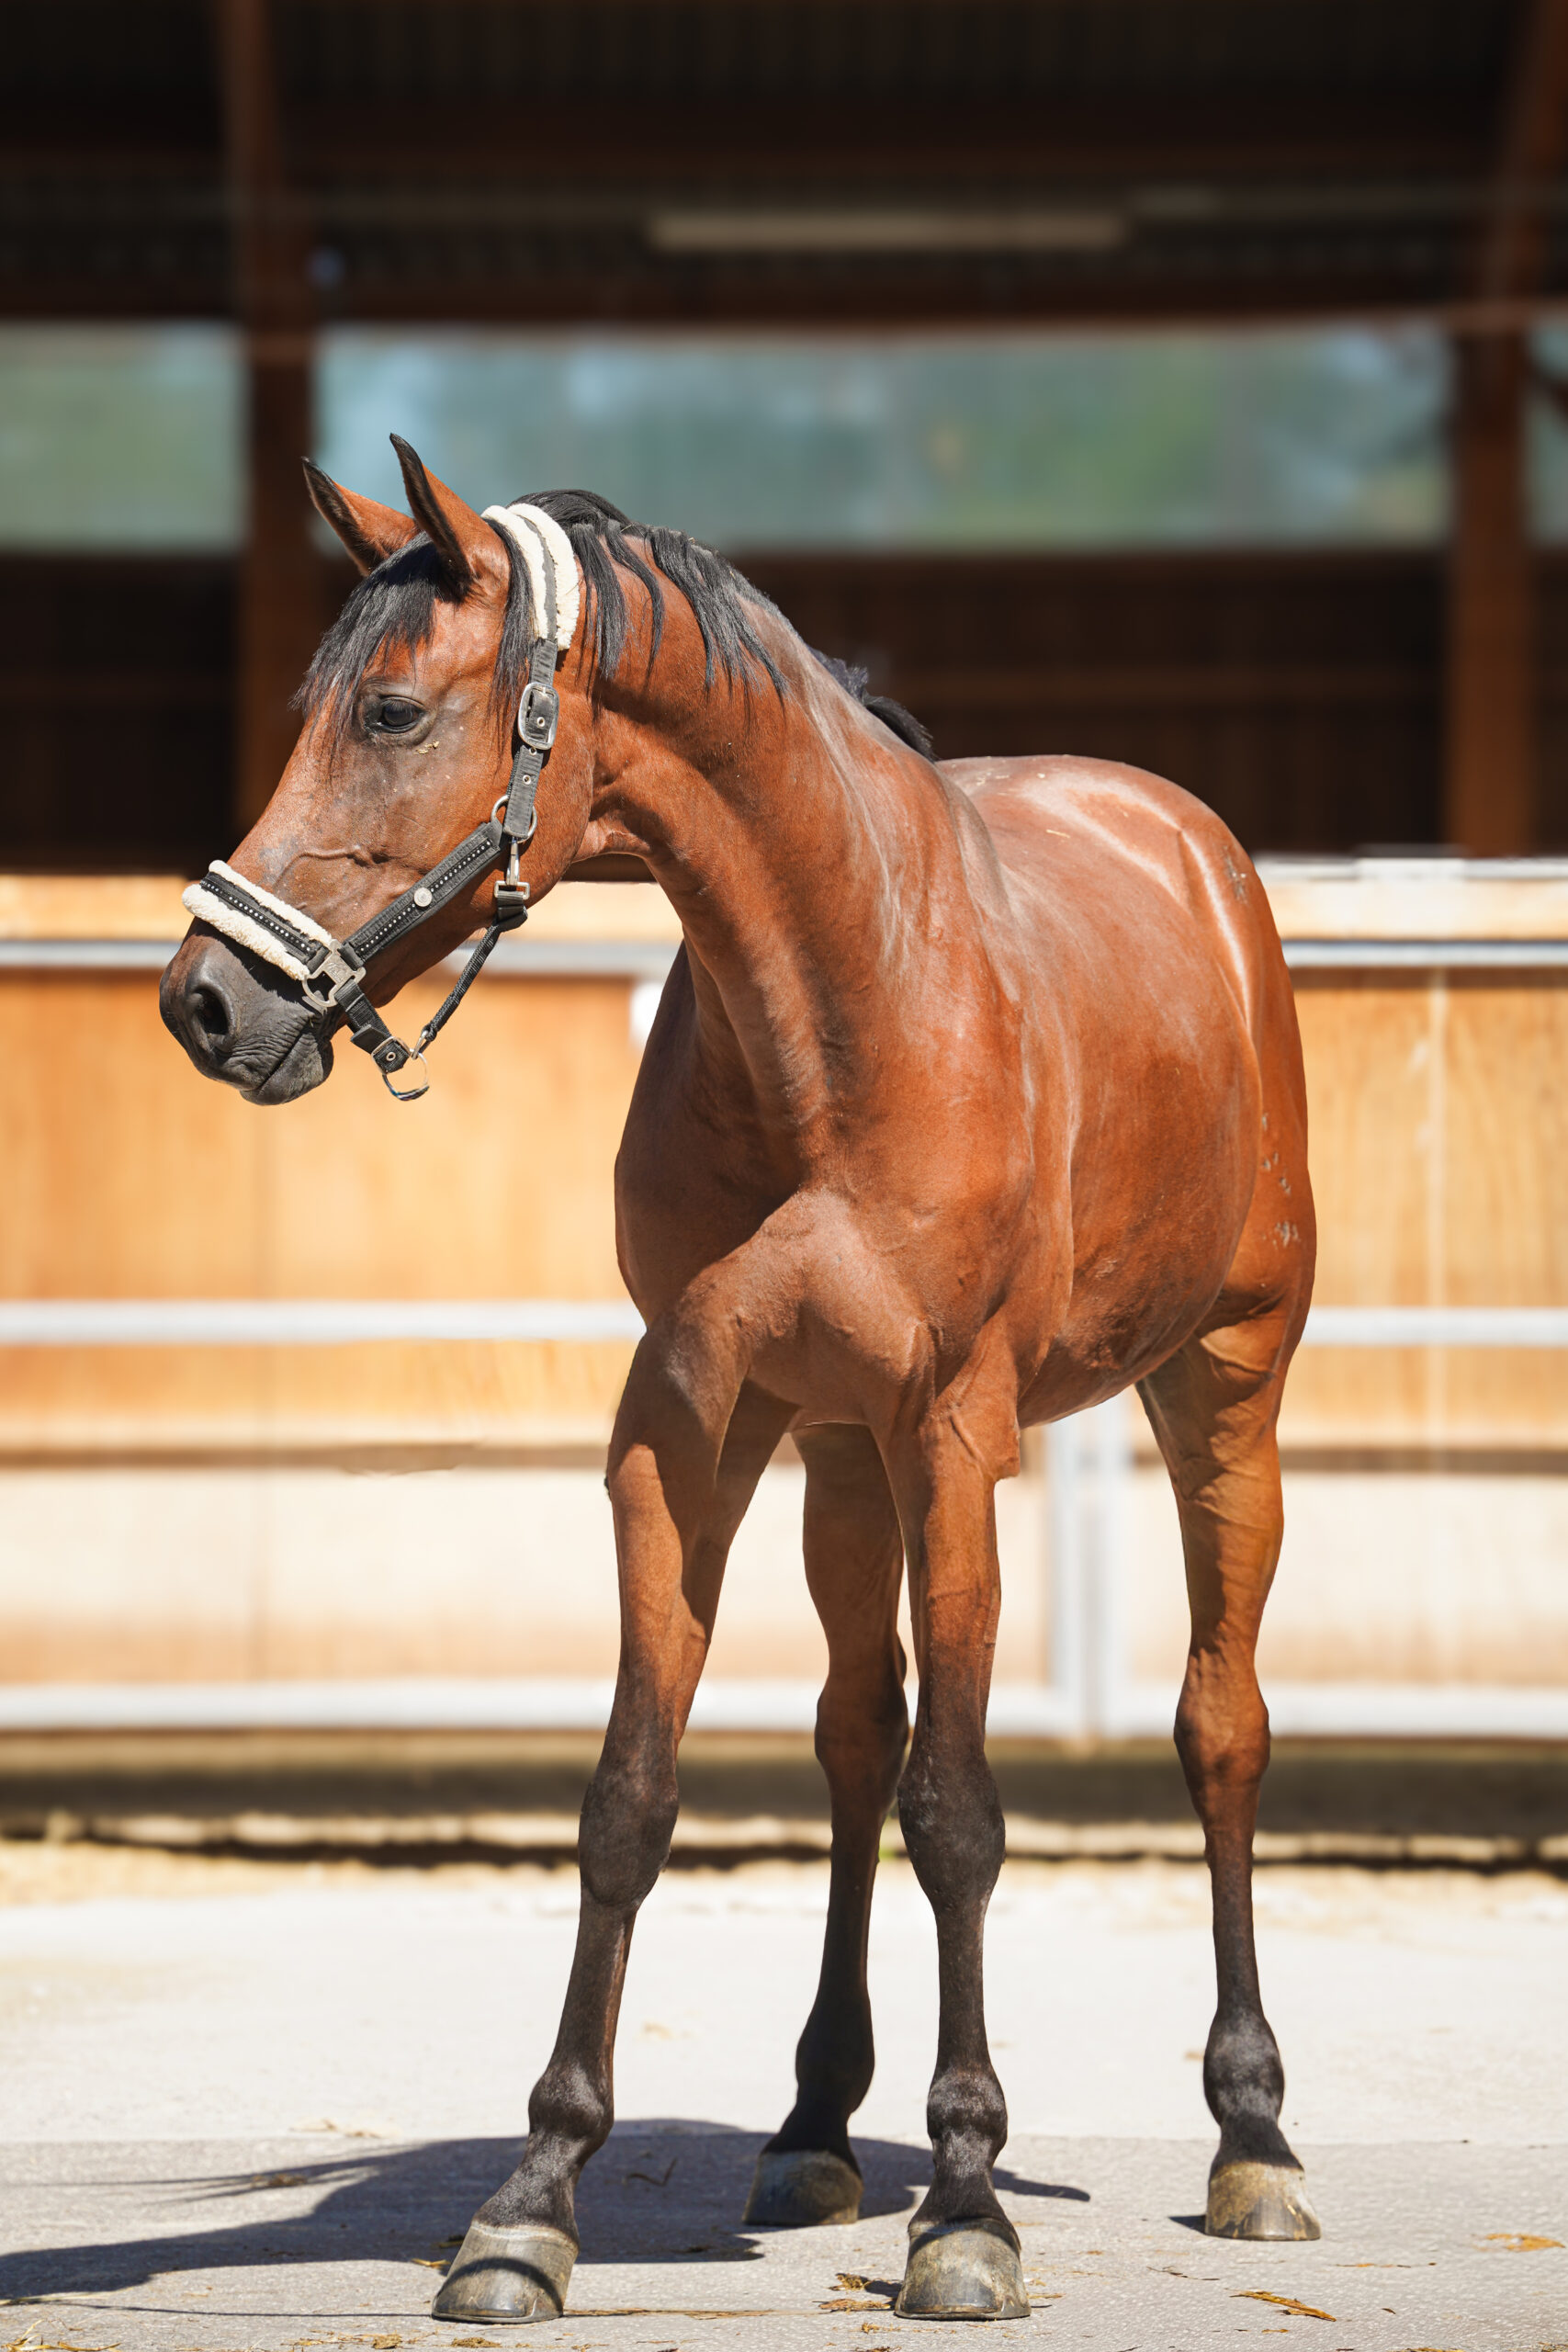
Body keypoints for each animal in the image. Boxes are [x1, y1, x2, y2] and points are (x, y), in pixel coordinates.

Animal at [161, 439, 1320, 2325]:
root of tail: (1193, 848)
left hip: (1223, 1396)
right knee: (855, 1738)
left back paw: (1253, 2140)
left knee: (1217, 1730)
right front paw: (531, 2202)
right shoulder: (687, 1433)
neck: (846, 1017)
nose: (203, 1005)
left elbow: (961, 1814)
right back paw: (816, 2124)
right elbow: (635, 1796)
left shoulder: (956, 1438)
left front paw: (967, 2216)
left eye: (393, 711)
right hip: (838, 1466)